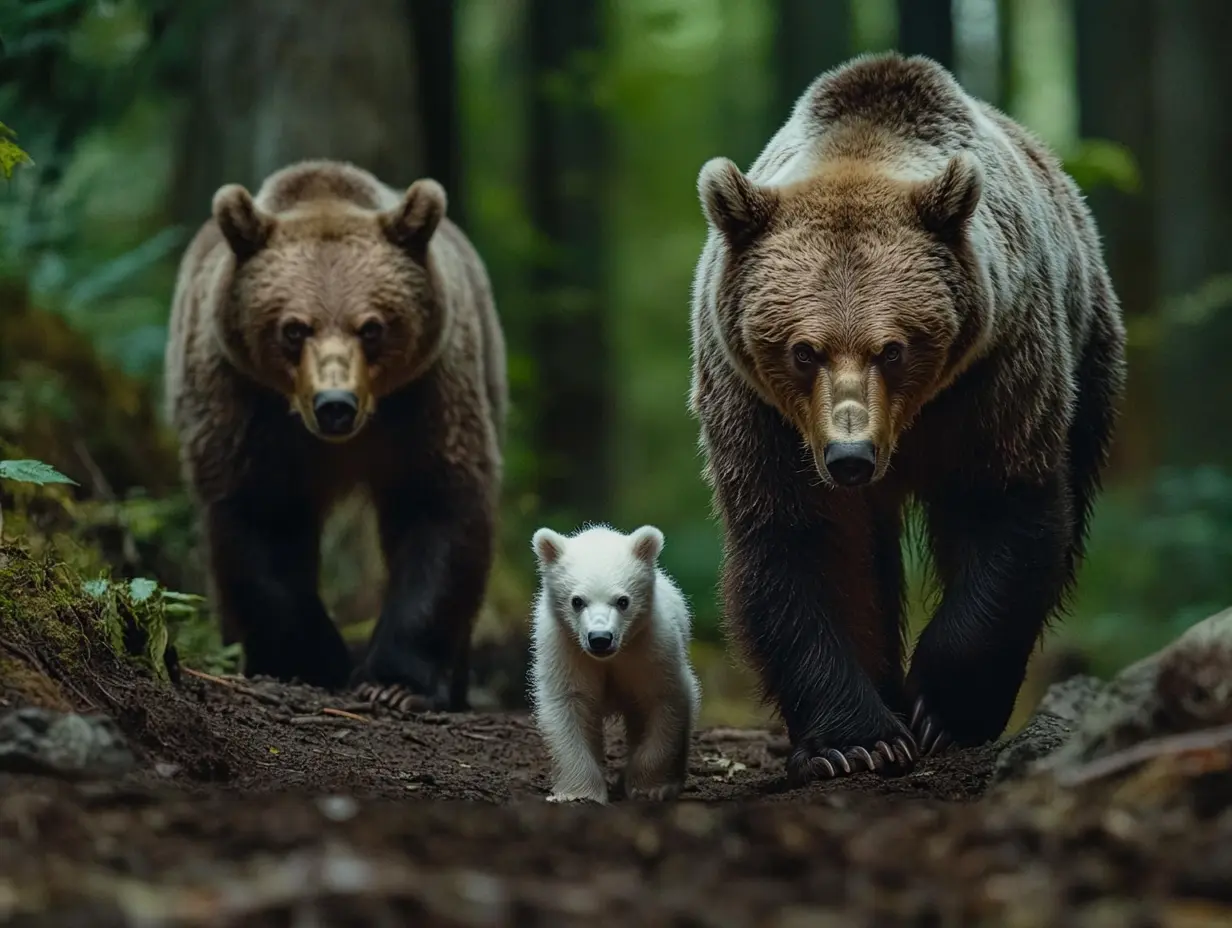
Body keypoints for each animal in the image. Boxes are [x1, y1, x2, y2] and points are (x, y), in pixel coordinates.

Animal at [163, 158, 507, 707]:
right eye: (293, 328)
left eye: (372, 327)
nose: (335, 406)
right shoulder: (243, 401)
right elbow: (263, 519)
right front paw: (310, 661)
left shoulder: (428, 394)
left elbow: (438, 506)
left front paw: (394, 683)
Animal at [528, 523, 701, 804]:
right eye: (577, 601)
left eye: (623, 600)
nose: (600, 639)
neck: (610, 657)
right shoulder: (565, 649)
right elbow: (569, 705)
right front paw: (578, 793)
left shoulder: (650, 646)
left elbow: (662, 700)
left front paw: (650, 788)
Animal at [688, 52, 1127, 782]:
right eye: (803, 351)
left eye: (892, 348)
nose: (850, 456)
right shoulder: (761, 411)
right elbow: (809, 542)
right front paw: (857, 739)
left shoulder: (995, 371)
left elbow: (1001, 508)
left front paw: (943, 708)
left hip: (1088, 344)